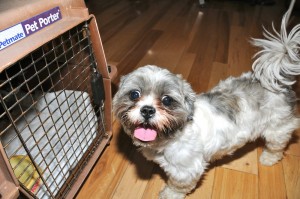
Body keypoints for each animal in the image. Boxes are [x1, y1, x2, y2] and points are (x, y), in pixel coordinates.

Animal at [112, 12, 300, 199]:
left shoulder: (185, 170)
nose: (147, 110)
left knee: (277, 146)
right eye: (134, 94)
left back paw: (268, 158)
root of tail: (275, 81)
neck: (171, 137)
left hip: (277, 128)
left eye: (167, 100)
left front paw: (169, 194)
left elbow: (177, 186)